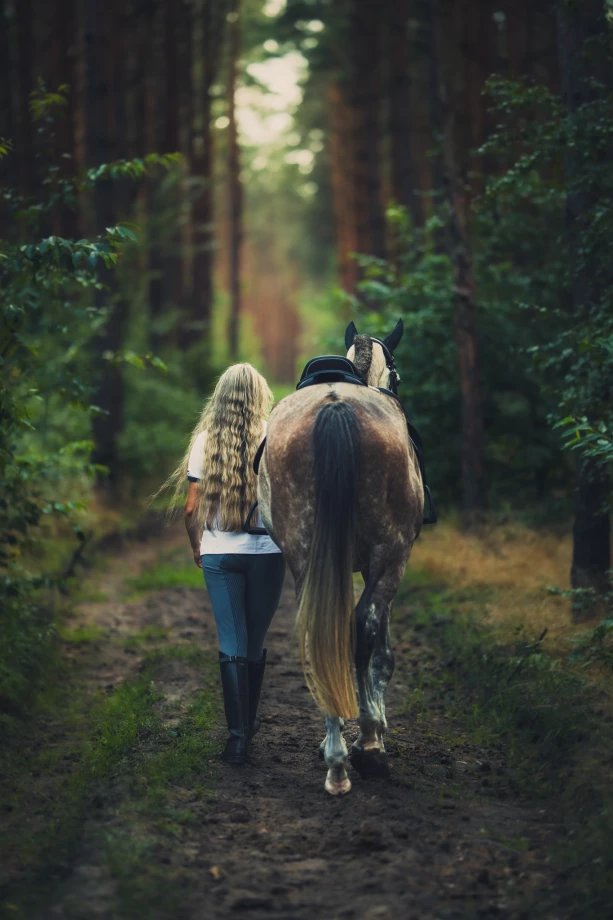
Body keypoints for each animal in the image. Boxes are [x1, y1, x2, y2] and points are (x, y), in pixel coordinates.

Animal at [256, 320, 424, 796]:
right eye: (398, 376)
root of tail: (335, 407)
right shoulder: (381, 563)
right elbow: (381, 652)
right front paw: (376, 731)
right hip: (391, 554)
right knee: (363, 628)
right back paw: (363, 749)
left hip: (306, 555)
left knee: (319, 636)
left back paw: (336, 765)